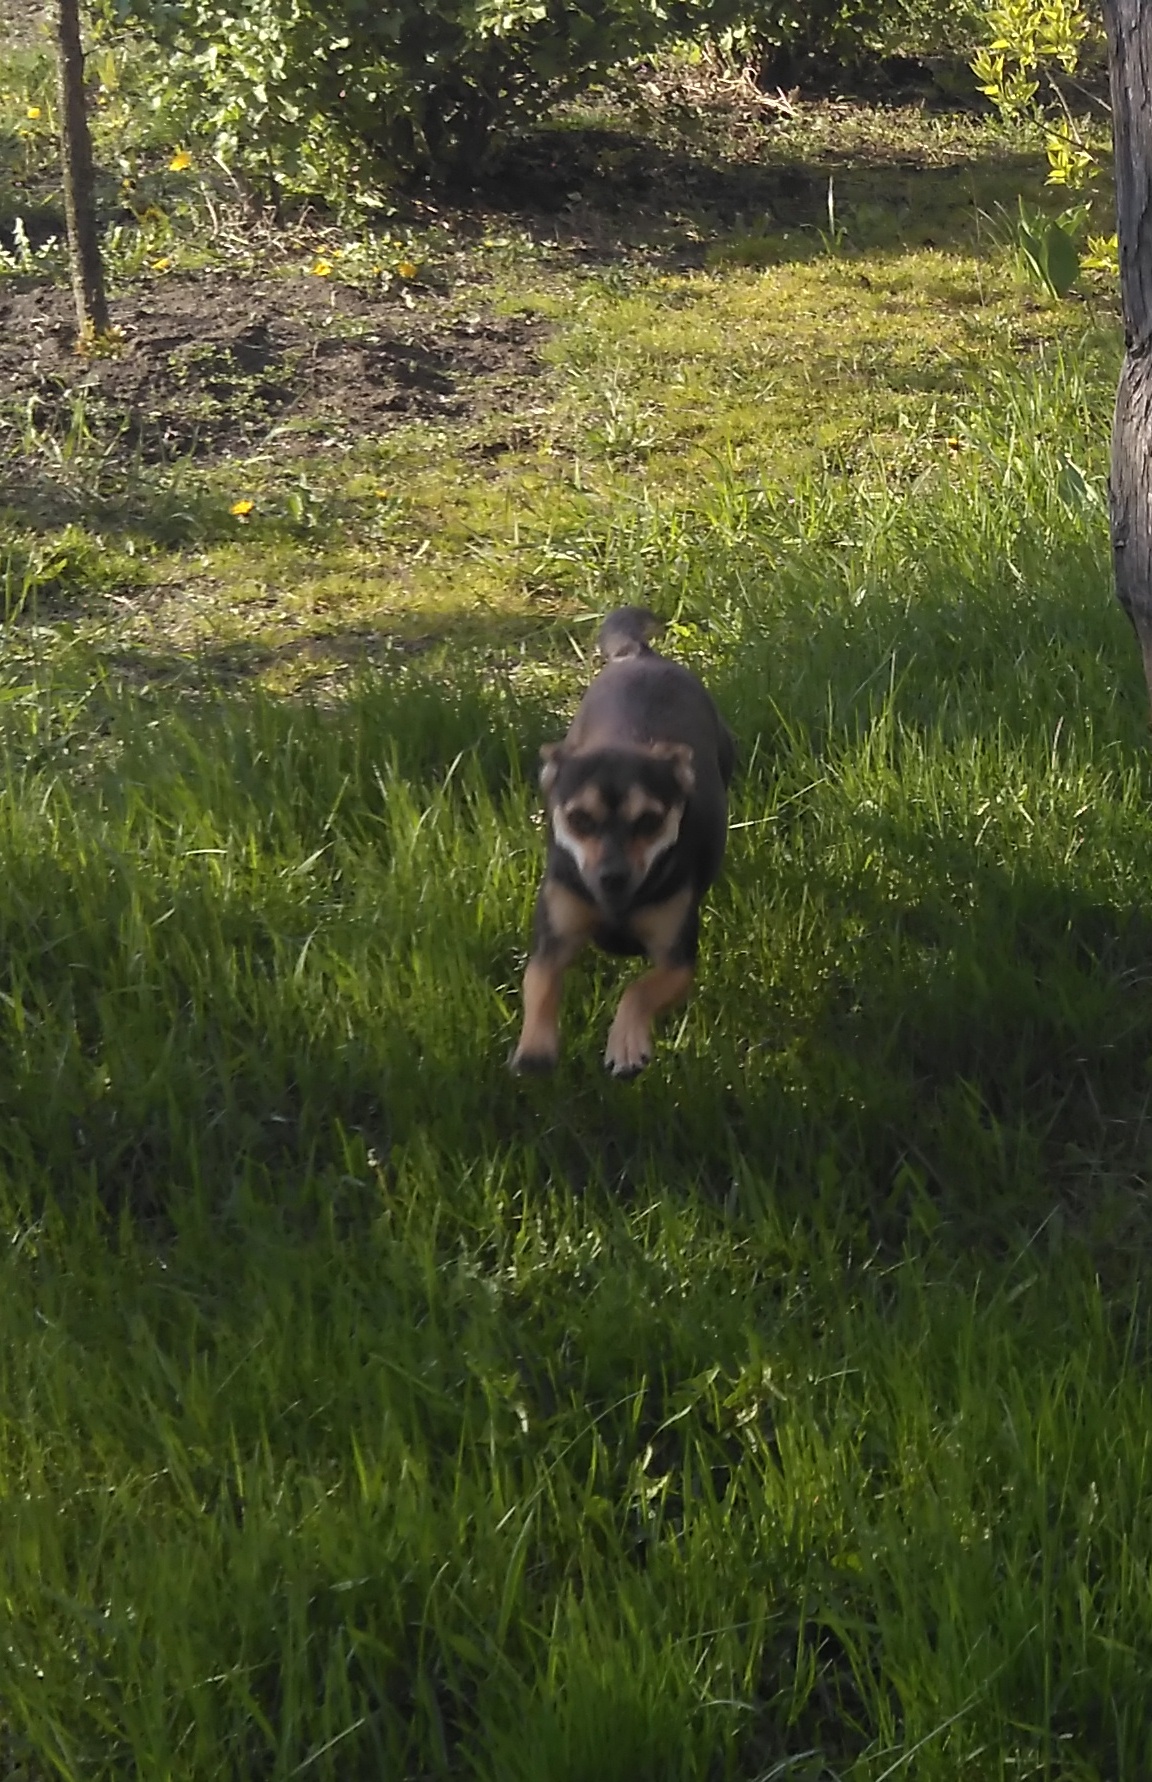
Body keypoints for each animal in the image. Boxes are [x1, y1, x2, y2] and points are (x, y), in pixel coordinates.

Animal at [511, 607, 734, 1078]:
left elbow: (639, 989)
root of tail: (640, 655)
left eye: (649, 821)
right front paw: (535, 1047)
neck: (616, 903)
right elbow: (539, 982)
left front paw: (627, 1044)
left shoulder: (676, 961)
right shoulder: (554, 937)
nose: (612, 875)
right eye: (579, 820)